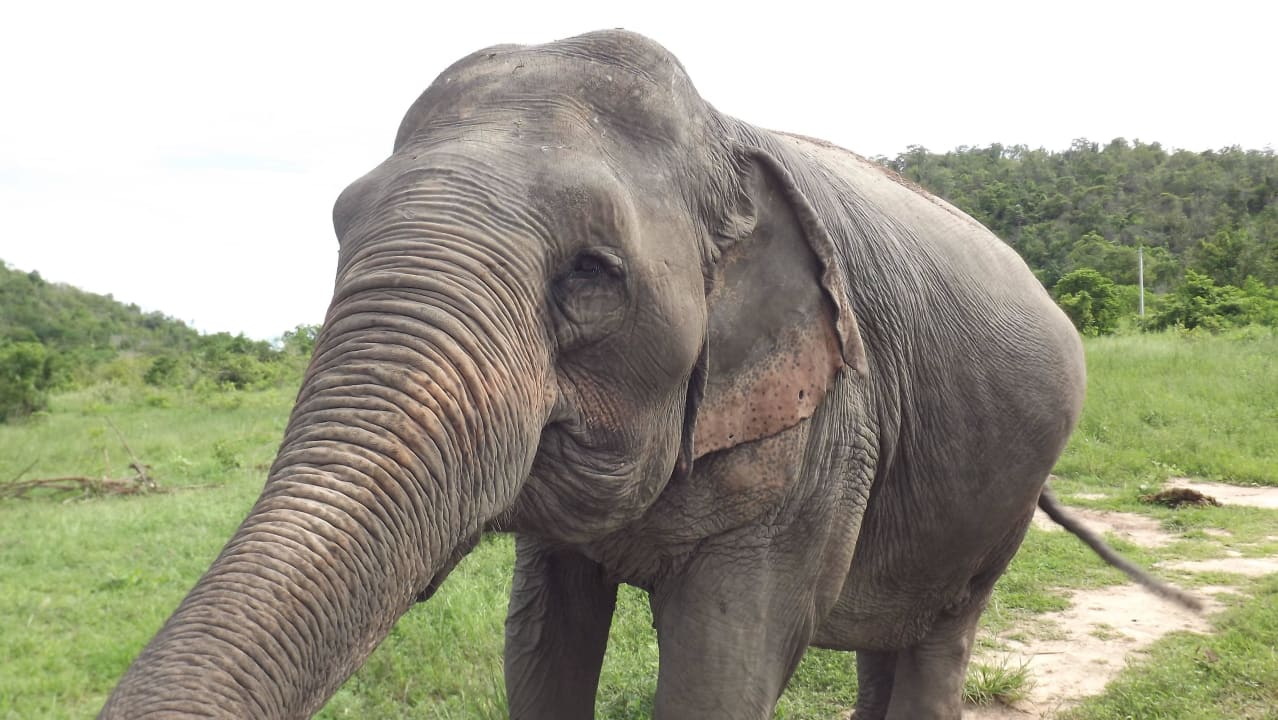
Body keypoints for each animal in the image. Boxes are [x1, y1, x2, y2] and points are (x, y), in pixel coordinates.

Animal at [100, 29, 1197, 720]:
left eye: (592, 274)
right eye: (338, 228)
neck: (725, 131)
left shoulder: (824, 425)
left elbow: (725, 664)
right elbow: (542, 643)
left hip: (1004, 494)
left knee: (940, 639)